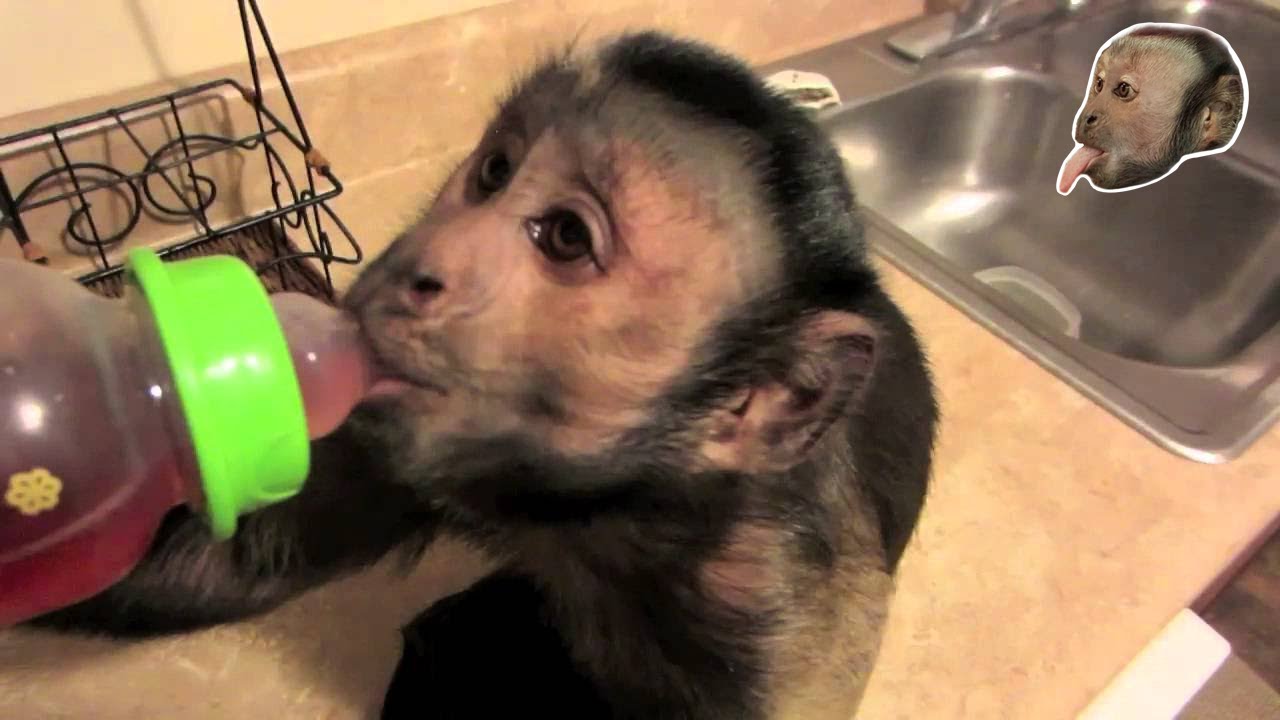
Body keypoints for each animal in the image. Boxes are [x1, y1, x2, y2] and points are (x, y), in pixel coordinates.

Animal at [24, 31, 938, 719]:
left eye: (565, 237)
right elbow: (241, 554)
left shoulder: (769, 603)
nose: (418, 268)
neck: (607, 508)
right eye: (495, 173)